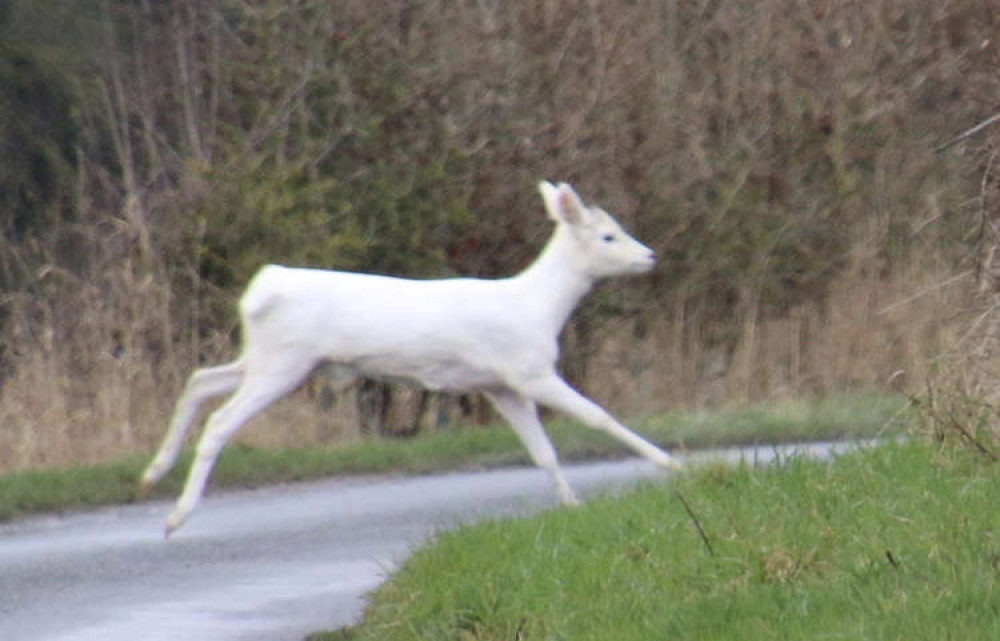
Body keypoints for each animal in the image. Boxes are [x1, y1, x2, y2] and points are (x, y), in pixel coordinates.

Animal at [141, 180, 684, 536]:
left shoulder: (499, 386)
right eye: (609, 236)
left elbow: (543, 452)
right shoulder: (528, 370)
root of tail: (259, 290)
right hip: (284, 361)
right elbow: (598, 416)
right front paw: (671, 464)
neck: (538, 308)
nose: (651, 256)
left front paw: (570, 506)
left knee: (200, 379)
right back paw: (175, 517)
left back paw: (154, 472)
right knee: (220, 418)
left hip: (269, 357)